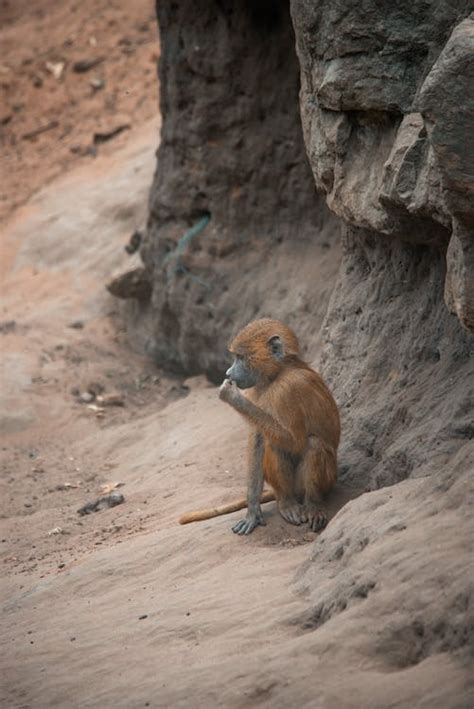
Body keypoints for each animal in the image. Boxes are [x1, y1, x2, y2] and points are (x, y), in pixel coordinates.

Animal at [179, 318, 340, 532]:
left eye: (240, 357)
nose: (228, 373)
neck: (278, 373)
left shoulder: (289, 389)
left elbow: (295, 441)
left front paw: (232, 396)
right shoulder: (257, 390)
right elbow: (257, 440)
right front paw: (252, 512)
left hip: (329, 481)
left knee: (311, 443)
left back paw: (312, 505)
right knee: (272, 445)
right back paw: (287, 502)